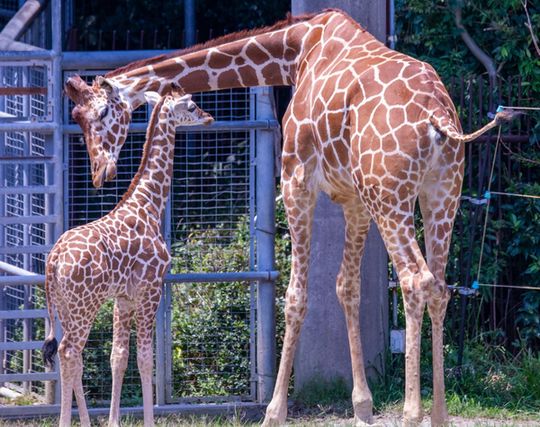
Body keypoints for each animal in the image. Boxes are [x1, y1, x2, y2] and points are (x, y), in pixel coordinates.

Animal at [41, 88, 213, 427]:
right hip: (84, 305)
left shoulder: (123, 298)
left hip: (65, 307)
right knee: (69, 352)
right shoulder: (150, 290)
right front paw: (148, 420)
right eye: (190, 106)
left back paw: (85, 421)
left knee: (74, 358)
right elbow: (145, 358)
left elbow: (118, 357)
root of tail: (53, 261)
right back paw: (67, 421)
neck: (149, 204)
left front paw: (113, 421)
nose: (209, 117)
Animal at [64, 8, 516, 426]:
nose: (99, 173)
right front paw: (362, 406)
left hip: (391, 195)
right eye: (77, 120)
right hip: (441, 193)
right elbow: (346, 288)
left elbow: (296, 296)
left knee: (415, 280)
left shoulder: (296, 180)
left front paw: (274, 411)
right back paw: (438, 413)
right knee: (439, 285)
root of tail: (436, 116)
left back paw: (410, 412)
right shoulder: (354, 199)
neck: (296, 49)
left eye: (101, 115)